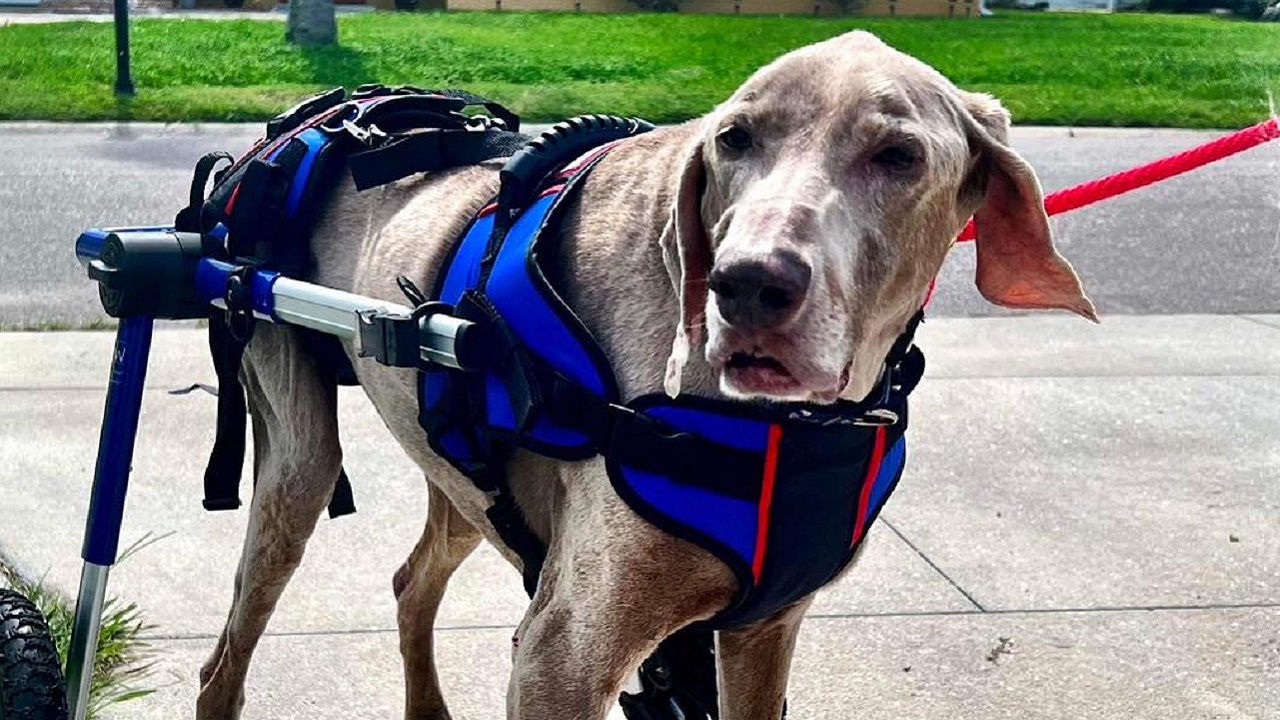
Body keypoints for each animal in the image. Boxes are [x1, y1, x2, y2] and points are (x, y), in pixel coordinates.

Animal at [194, 30, 1095, 717]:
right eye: (734, 139)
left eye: (899, 154)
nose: (746, 284)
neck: (792, 424)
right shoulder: (562, 652)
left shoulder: (762, 629)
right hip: (297, 460)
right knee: (221, 666)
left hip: (458, 474)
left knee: (413, 579)